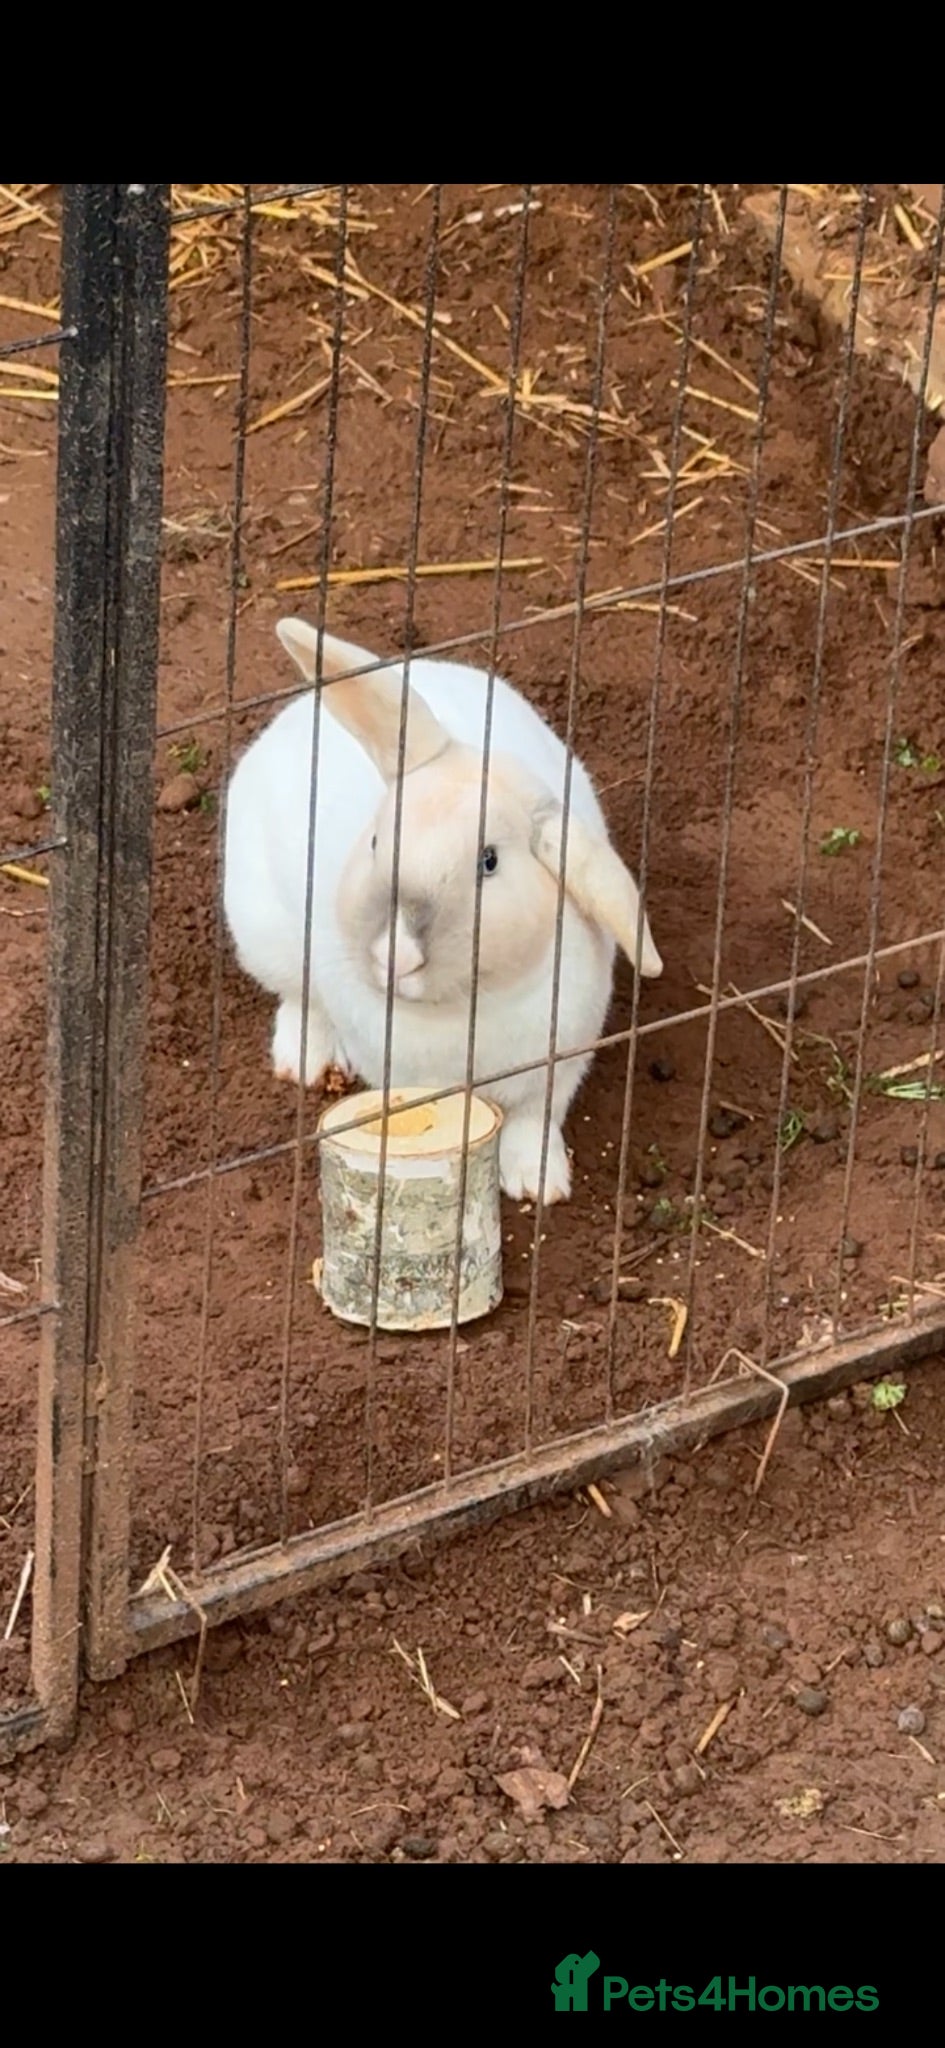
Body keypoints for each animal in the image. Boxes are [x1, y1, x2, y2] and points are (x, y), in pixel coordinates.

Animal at [223, 619, 663, 1205]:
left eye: (489, 862)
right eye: (376, 841)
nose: (395, 954)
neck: (464, 1009)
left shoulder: (560, 1063)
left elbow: (533, 1121)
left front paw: (538, 1185)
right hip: (264, 931)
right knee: (300, 997)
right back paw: (304, 1059)